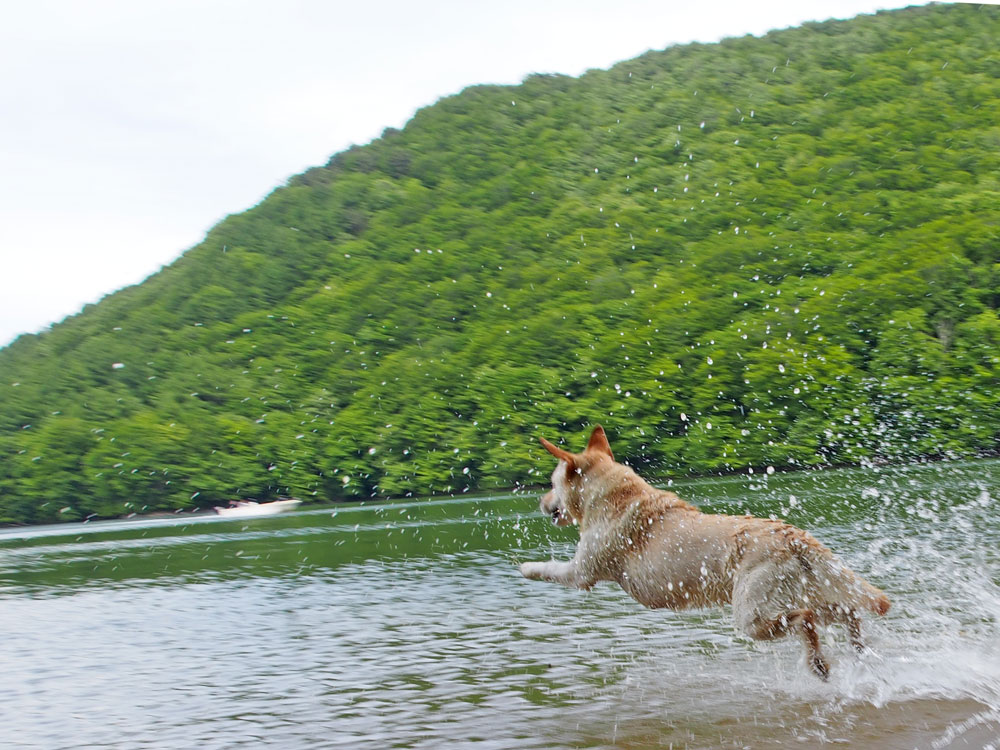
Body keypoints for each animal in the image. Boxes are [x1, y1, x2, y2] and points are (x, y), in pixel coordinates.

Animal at [520, 426, 888, 680]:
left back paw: (820, 664)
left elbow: (550, 568)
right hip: (804, 593)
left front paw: (525, 567)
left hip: (754, 615)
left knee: (808, 620)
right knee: (847, 613)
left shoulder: (581, 572)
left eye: (551, 484)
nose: (540, 501)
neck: (613, 496)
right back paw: (859, 652)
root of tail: (793, 535)